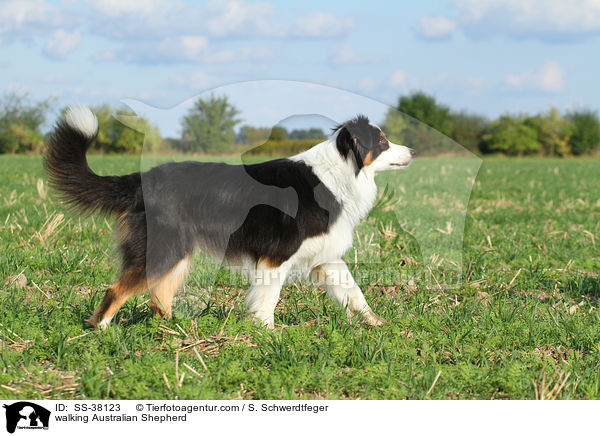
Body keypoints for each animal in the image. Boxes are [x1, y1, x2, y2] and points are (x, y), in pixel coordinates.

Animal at [45, 107, 412, 328]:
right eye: (382, 141)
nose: (412, 151)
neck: (338, 173)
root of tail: (140, 178)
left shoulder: (327, 257)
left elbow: (354, 293)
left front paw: (378, 325)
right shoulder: (275, 257)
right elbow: (268, 299)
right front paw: (267, 334)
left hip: (176, 254)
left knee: (158, 298)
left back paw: (174, 333)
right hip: (165, 249)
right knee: (116, 290)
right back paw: (101, 330)